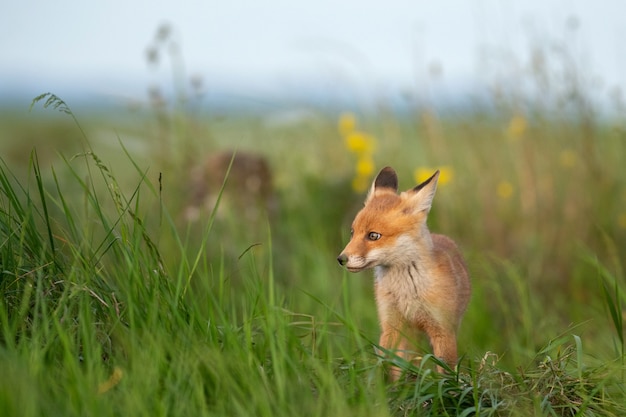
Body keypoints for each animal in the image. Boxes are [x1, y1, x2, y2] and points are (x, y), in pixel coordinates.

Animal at [336, 167, 468, 380]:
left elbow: (446, 373)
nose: (341, 259)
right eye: (352, 232)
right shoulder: (391, 326)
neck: (407, 291)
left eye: (373, 235)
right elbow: (387, 365)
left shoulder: (442, 330)